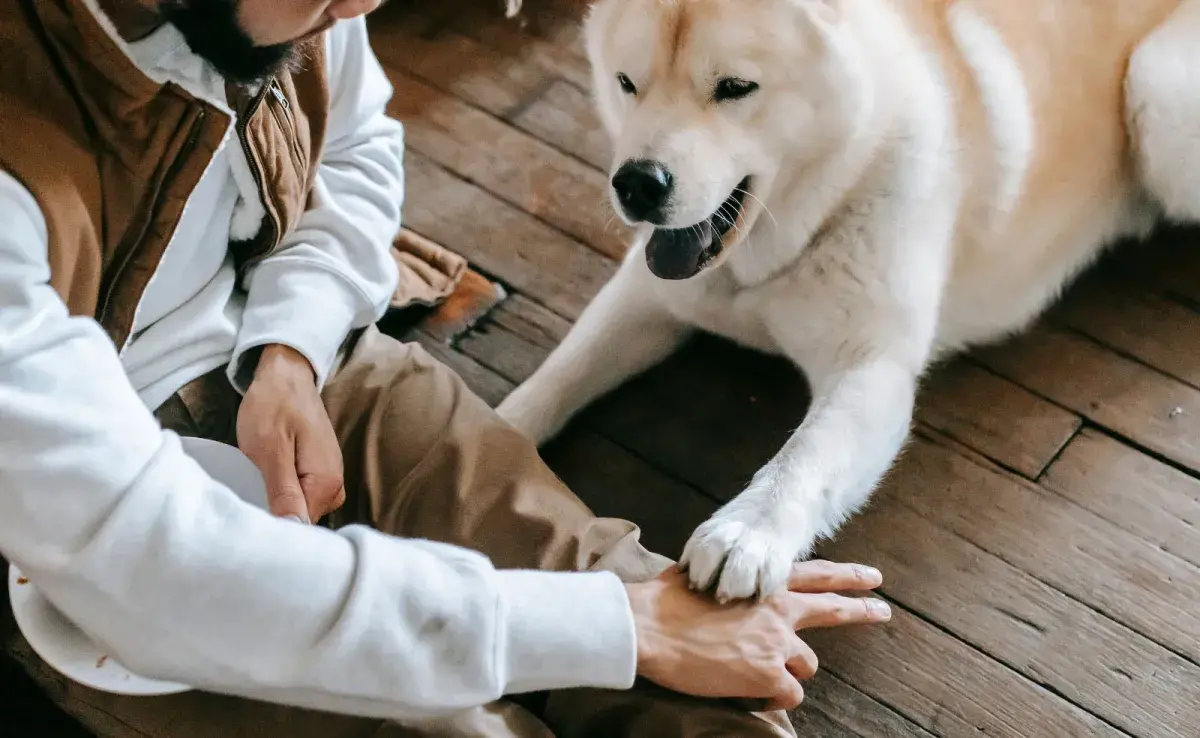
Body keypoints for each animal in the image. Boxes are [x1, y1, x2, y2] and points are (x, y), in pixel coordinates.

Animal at [494, 0, 1200, 600]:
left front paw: (746, 532)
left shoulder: (871, 367)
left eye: (735, 88)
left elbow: (806, 455)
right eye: (626, 82)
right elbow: (558, 376)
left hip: (1154, 94)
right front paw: (492, 433)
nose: (638, 183)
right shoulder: (648, 297)